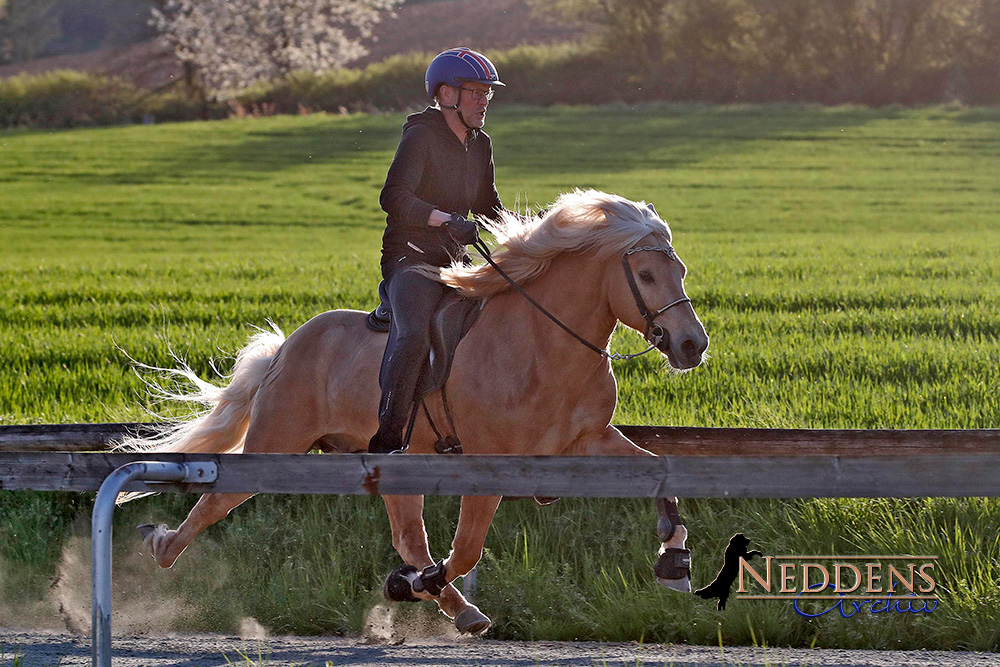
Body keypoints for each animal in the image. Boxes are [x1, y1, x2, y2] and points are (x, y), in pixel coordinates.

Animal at [121, 189, 708, 636]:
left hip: (395, 459)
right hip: (277, 441)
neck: (545, 341)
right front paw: (411, 584)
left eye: (679, 269)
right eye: (647, 275)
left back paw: (456, 607)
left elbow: (662, 475)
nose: (692, 346)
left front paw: (675, 563)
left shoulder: (588, 441)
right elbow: (466, 550)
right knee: (218, 499)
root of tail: (287, 347)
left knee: (409, 535)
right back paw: (161, 546)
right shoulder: (490, 462)